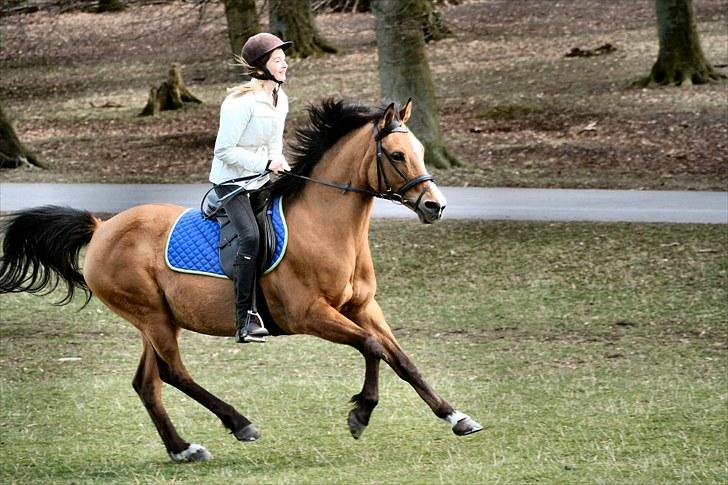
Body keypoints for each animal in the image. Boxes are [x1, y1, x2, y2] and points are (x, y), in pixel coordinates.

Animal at [1, 97, 484, 462]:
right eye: (398, 155)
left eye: (420, 149)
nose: (435, 206)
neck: (325, 226)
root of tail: (101, 228)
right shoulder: (309, 314)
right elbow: (372, 348)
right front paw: (360, 414)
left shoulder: (362, 307)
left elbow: (401, 359)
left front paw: (456, 417)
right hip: (153, 317)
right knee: (173, 373)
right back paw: (240, 424)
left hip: (155, 321)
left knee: (147, 383)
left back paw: (182, 449)